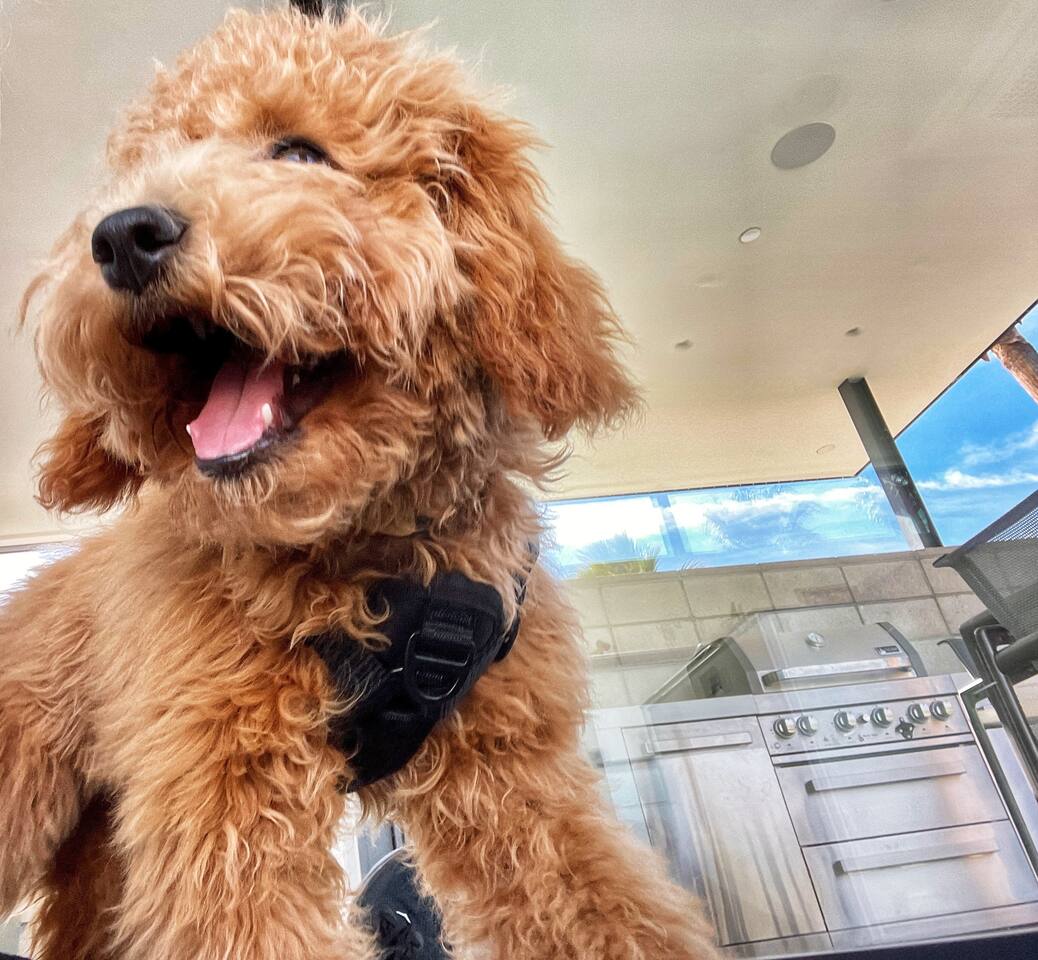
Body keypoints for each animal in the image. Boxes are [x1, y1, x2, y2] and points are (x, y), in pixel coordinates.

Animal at [3, 7, 718, 960]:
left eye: (301, 151)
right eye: (141, 167)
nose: (121, 235)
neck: (361, 557)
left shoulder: (515, 779)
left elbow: (604, 905)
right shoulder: (223, 804)